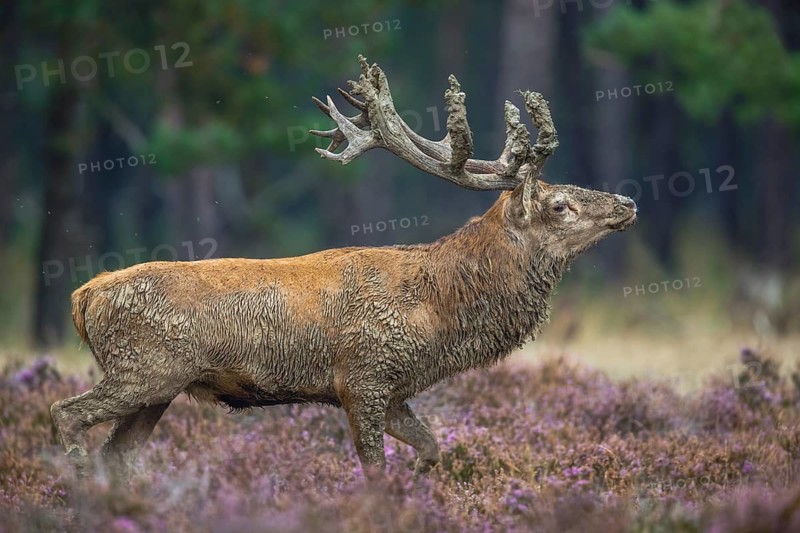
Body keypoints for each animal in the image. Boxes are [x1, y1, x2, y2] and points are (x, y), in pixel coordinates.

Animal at [50, 55, 636, 478]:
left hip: (157, 389)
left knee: (115, 453)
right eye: (559, 204)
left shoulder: (396, 391)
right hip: (142, 369)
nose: (628, 202)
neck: (439, 313)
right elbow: (374, 469)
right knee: (64, 414)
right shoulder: (363, 377)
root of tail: (83, 297)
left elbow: (432, 450)